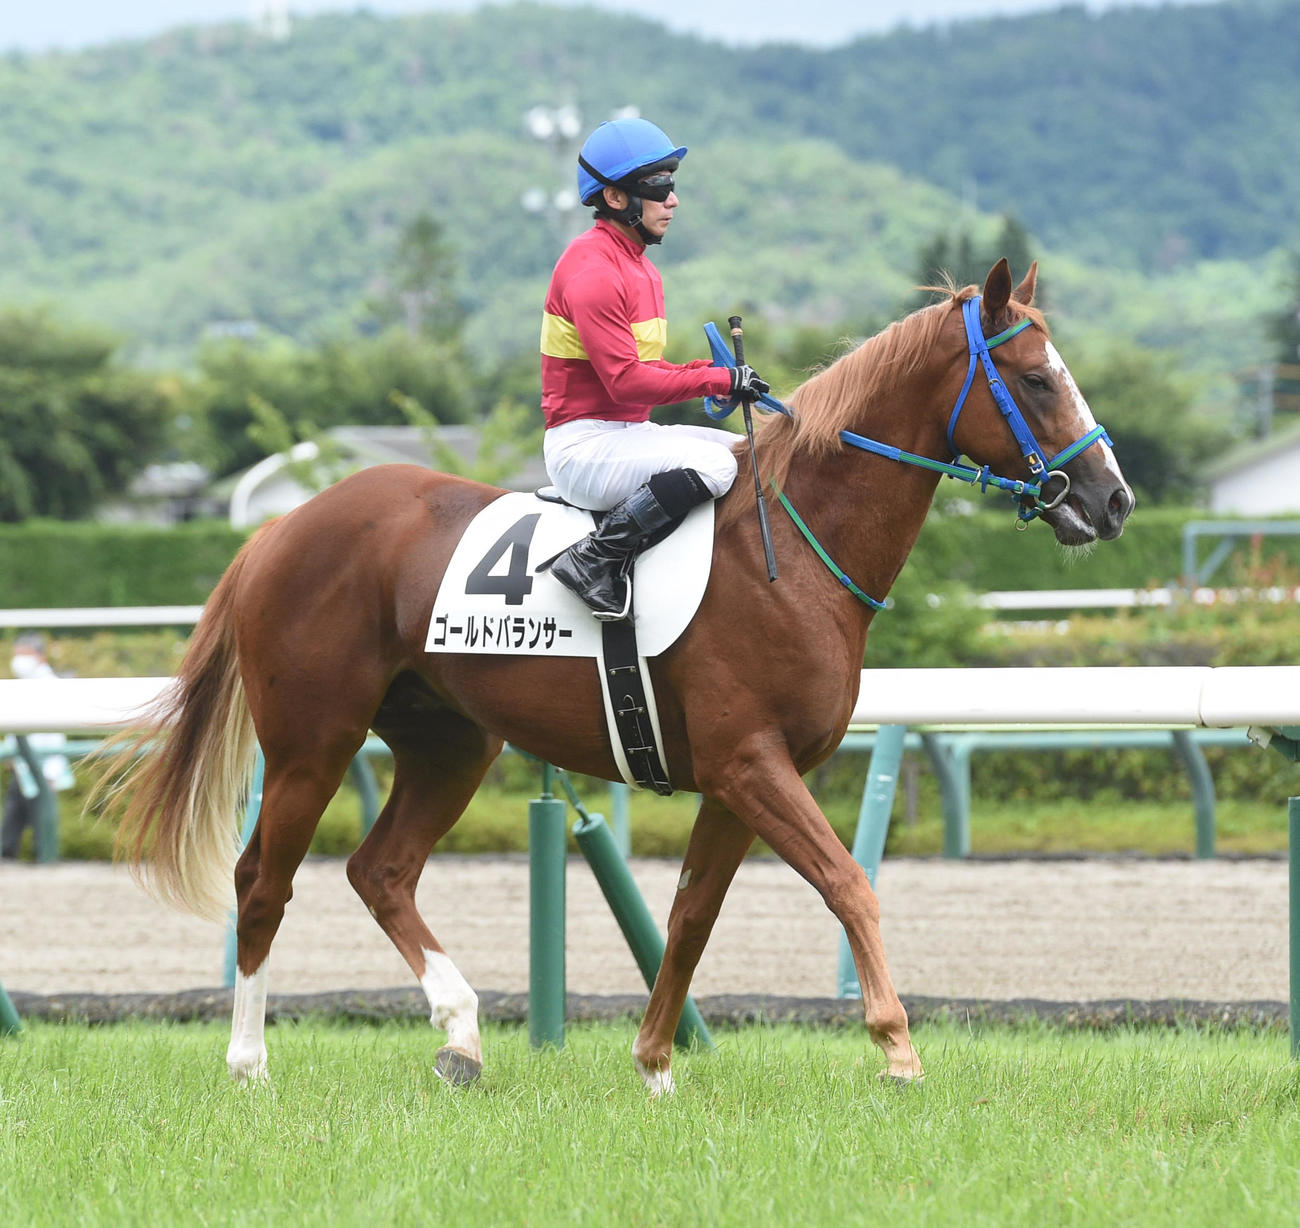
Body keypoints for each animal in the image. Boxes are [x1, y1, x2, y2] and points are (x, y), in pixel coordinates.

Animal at [98, 259, 1133, 1094]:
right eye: (1036, 379)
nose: (1113, 499)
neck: (792, 553)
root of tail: (283, 526)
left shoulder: (735, 778)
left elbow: (688, 917)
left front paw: (656, 1062)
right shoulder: (752, 763)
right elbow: (849, 884)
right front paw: (897, 1046)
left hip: (451, 743)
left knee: (379, 869)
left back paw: (462, 1036)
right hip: (313, 742)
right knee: (262, 881)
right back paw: (249, 1062)